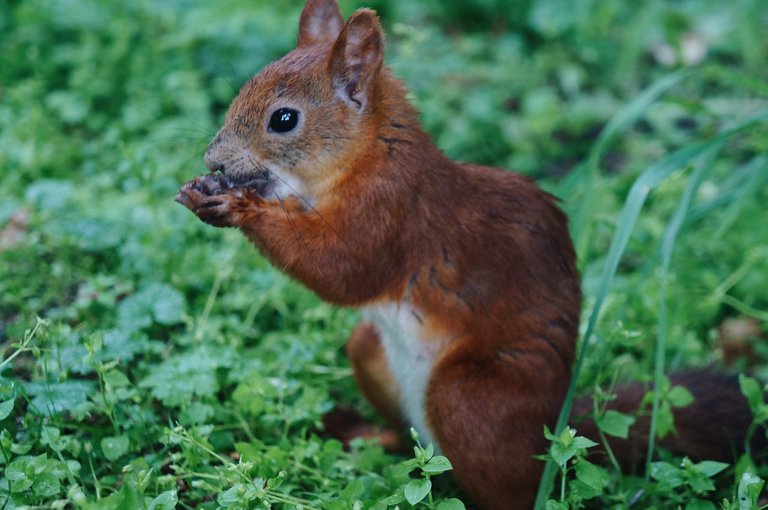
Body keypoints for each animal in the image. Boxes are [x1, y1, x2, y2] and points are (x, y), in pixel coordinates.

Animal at [176, 1, 760, 508]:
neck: (368, 157)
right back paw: (367, 438)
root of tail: (557, 429)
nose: (214, 159)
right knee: (410, 438)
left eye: (284, 119)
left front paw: (236, 205)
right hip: (372, 352)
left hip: (470, 398)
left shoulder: (395, 214)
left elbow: (344, 272)